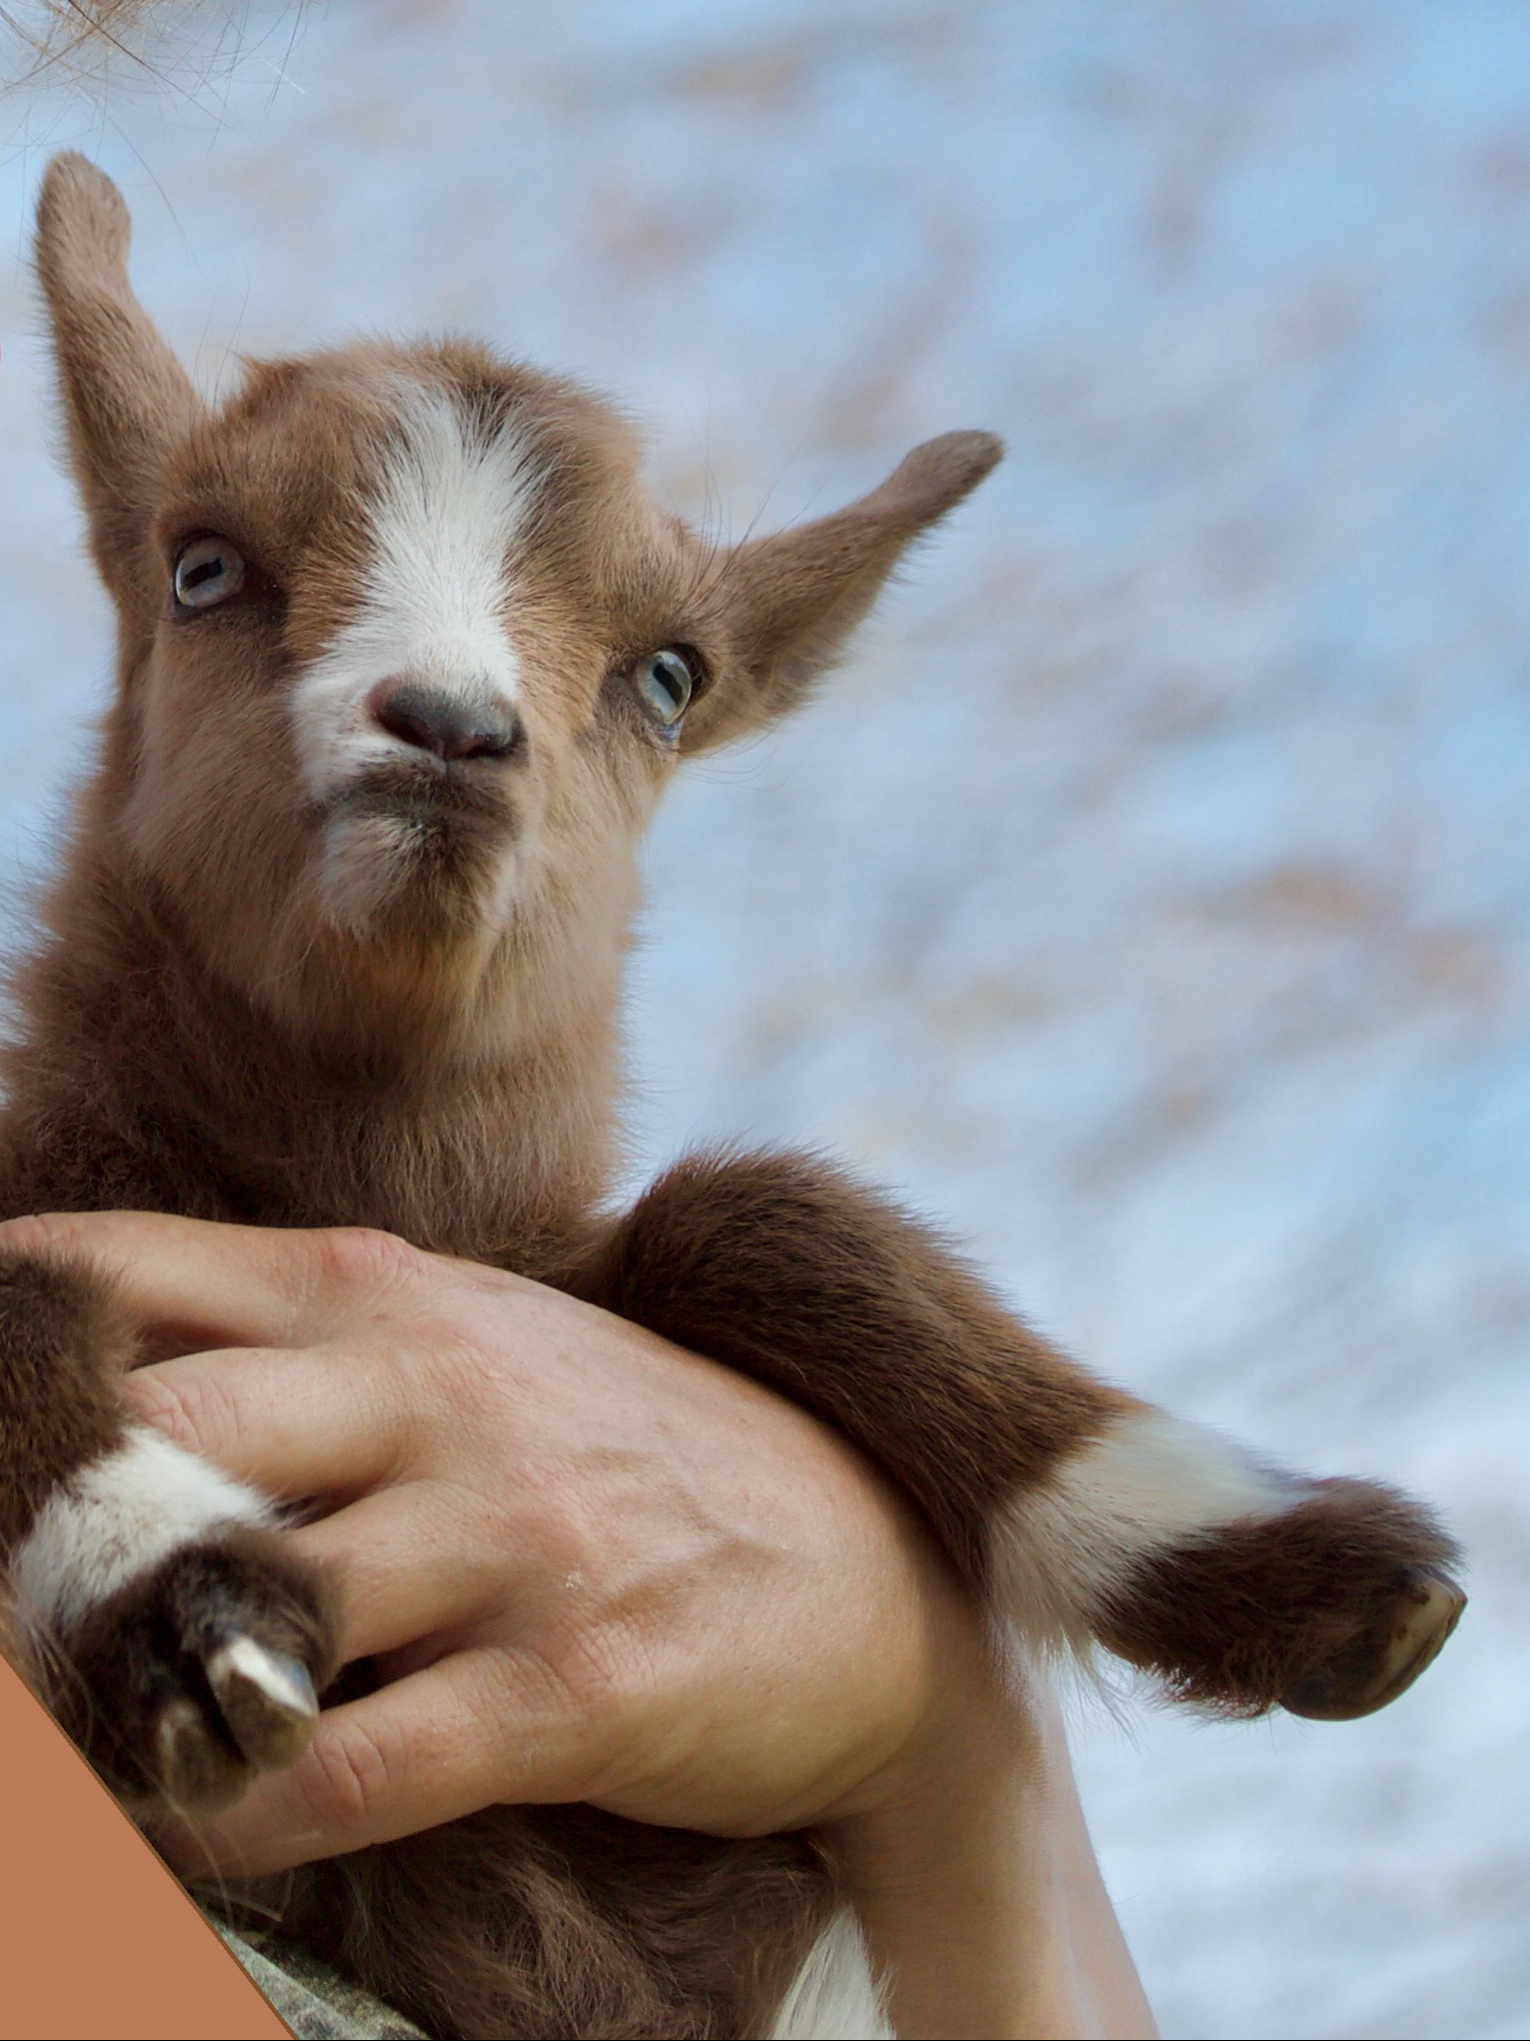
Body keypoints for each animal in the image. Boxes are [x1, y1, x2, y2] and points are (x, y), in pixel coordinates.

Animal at [0, 153, 1465, 2039]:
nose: (450, 733)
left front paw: (1282, 1562)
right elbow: (24, 1292)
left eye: (669, 674)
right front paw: (183, 1603)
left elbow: (760, 1212)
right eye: (202, 566)